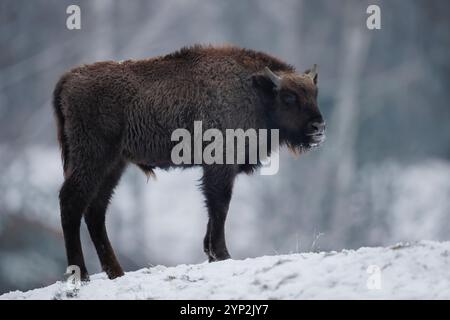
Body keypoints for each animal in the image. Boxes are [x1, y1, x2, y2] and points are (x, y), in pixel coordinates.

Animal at [52, 45, 326, 280]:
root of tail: (68, 79)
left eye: (314, 93)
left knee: (95, 210)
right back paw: (81, 274)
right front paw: (222, 254)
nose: (319, 128)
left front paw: (211, 253)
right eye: (289, 97)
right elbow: (219, 206)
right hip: (93, 159)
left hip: (114, 165)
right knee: (72, 201)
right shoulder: (220, 167)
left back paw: (116, 272)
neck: (255, 91)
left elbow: (214, 209)